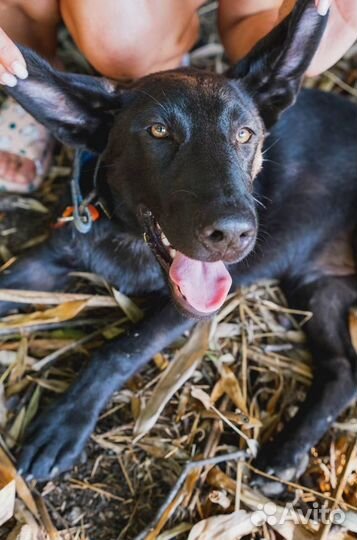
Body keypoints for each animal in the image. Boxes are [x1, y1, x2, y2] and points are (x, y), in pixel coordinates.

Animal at [0, 0, 356, 492]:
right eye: (158, 132)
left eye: (245, 134)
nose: (232, 234)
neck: (126, 236)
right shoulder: (43, 263)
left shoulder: (188, 306)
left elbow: (120, 349)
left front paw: (64, 423)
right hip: (319, 287)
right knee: (343, 370)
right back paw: (287, 453)